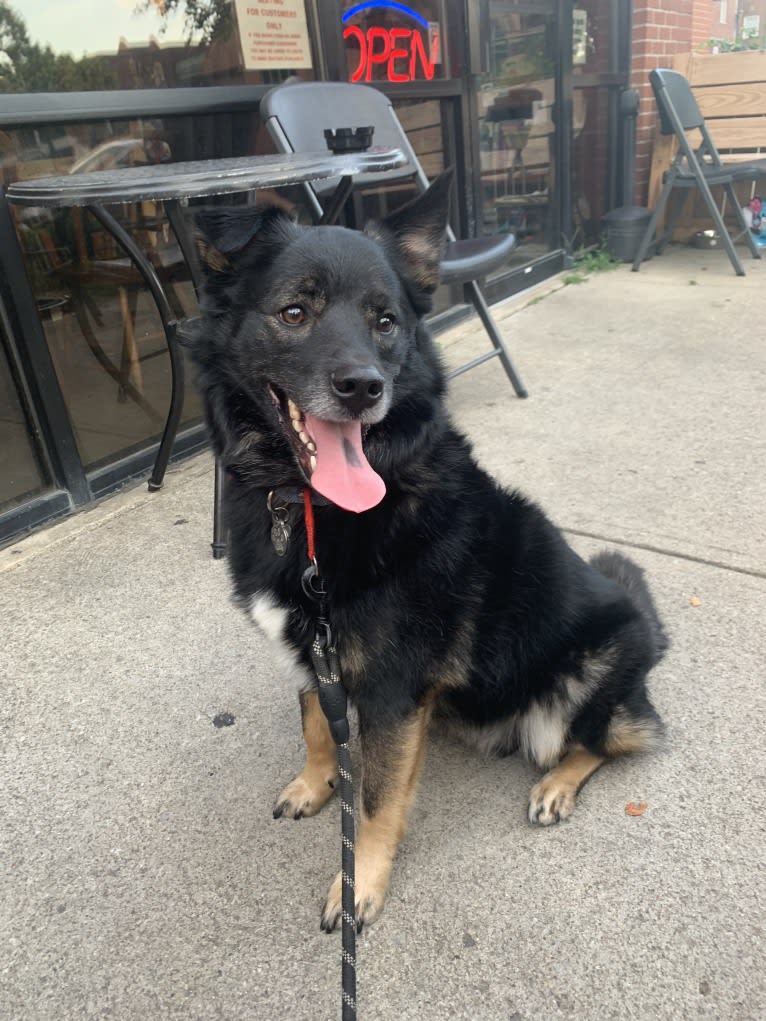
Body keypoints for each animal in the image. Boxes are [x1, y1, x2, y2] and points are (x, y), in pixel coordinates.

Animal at [185, 171, 665, 931]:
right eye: (294, 312)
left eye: (386, 322)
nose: (364, 388)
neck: (309, 508)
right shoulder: (316, 652)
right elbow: (316, 726)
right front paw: (315, 782)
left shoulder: (389, 687)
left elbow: (379, 798)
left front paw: (361, 882)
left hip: (590, 672)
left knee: (614, 737)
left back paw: (557, 784)